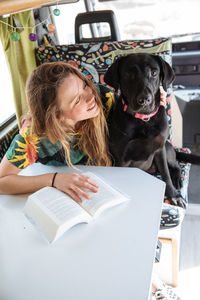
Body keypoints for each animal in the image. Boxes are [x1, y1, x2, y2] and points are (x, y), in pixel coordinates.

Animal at [104, 53, 199, 209]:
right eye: (128, 74)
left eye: (154, 73)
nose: (145, 100)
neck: (144, 120)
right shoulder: (121, 158)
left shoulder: (160, 149)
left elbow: (166, 174)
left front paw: (174, 195)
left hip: (167, 149)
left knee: (175, 166)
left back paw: (178, 180)